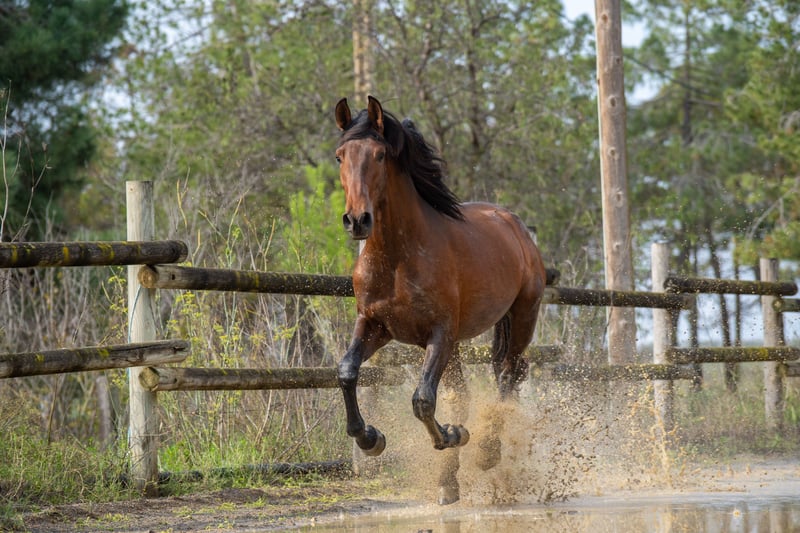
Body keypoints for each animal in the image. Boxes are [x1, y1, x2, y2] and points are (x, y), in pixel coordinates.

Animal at [334, 96, 547, 504]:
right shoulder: (375, 325)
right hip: (461, 343)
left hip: (522, 317)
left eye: (380, 155)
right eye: (340, 156)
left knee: (508, 375)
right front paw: (371, 439)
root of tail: (514, 223)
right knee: (468, 390)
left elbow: (422, 400)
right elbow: (348, 372)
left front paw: (452, 434)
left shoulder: (440, 334)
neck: (397, 258)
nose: (357, 220)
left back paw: (487, 451)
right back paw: (449, 483)